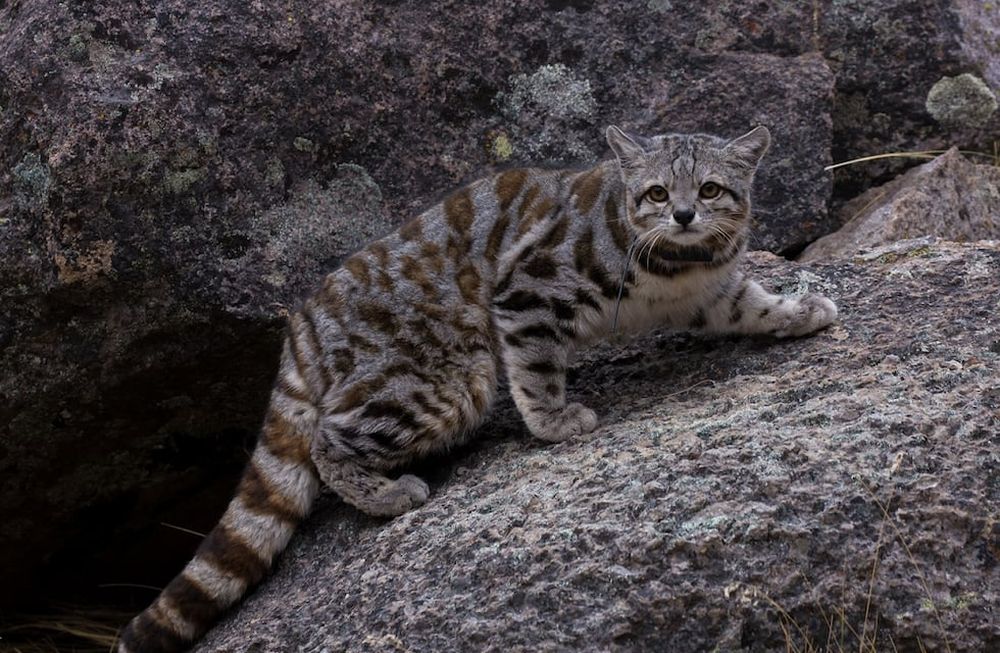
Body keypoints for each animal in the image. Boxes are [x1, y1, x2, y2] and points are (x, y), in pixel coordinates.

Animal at [117, 125, 836, 648]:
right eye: (657, 194)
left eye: (711, 189)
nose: (685, 215)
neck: (679, 262)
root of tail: (303, 325)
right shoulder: (527, 288)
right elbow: (535, 368)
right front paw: (553, 421)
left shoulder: (715, 294)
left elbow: (754, 305)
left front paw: (801, 310)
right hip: (445, 379)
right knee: (327, 437)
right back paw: (386, 493)